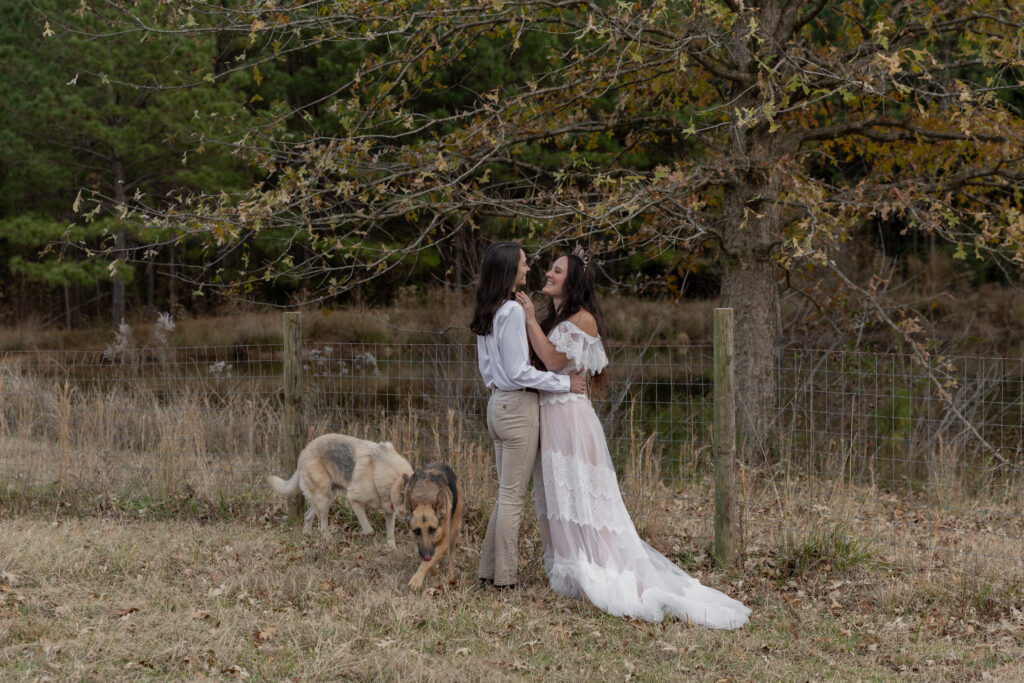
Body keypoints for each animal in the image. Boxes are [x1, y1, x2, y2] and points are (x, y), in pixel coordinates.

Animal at [274, 436, 417, 552]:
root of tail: (304, 451)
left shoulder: (389, 512)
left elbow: (390, 536)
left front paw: (392, 549)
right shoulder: (353, 500)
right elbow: (369, 530)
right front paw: (357, 535)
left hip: (326, 498)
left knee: (308, 516)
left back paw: (307, 537)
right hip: (324, 498)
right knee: (322, 527)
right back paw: (327, 540)